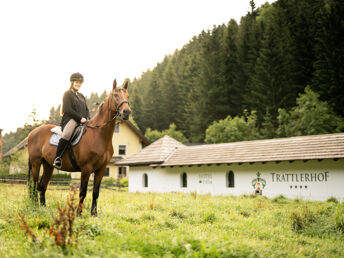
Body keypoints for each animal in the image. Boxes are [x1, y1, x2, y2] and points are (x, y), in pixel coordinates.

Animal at [26, 79, 131, 216]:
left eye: (128, 96)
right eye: (116, 95)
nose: (127, 112)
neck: (99, 134)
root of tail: (32, 133)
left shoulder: (101, 169)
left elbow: (95, 192)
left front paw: (94, 214)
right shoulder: (86, 169)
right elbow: (83, 192)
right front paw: (79, 214)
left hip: (48, 165)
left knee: (42, 186)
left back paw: (43, 208)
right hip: (36, 163)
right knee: (34, 186)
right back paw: (35, 208)